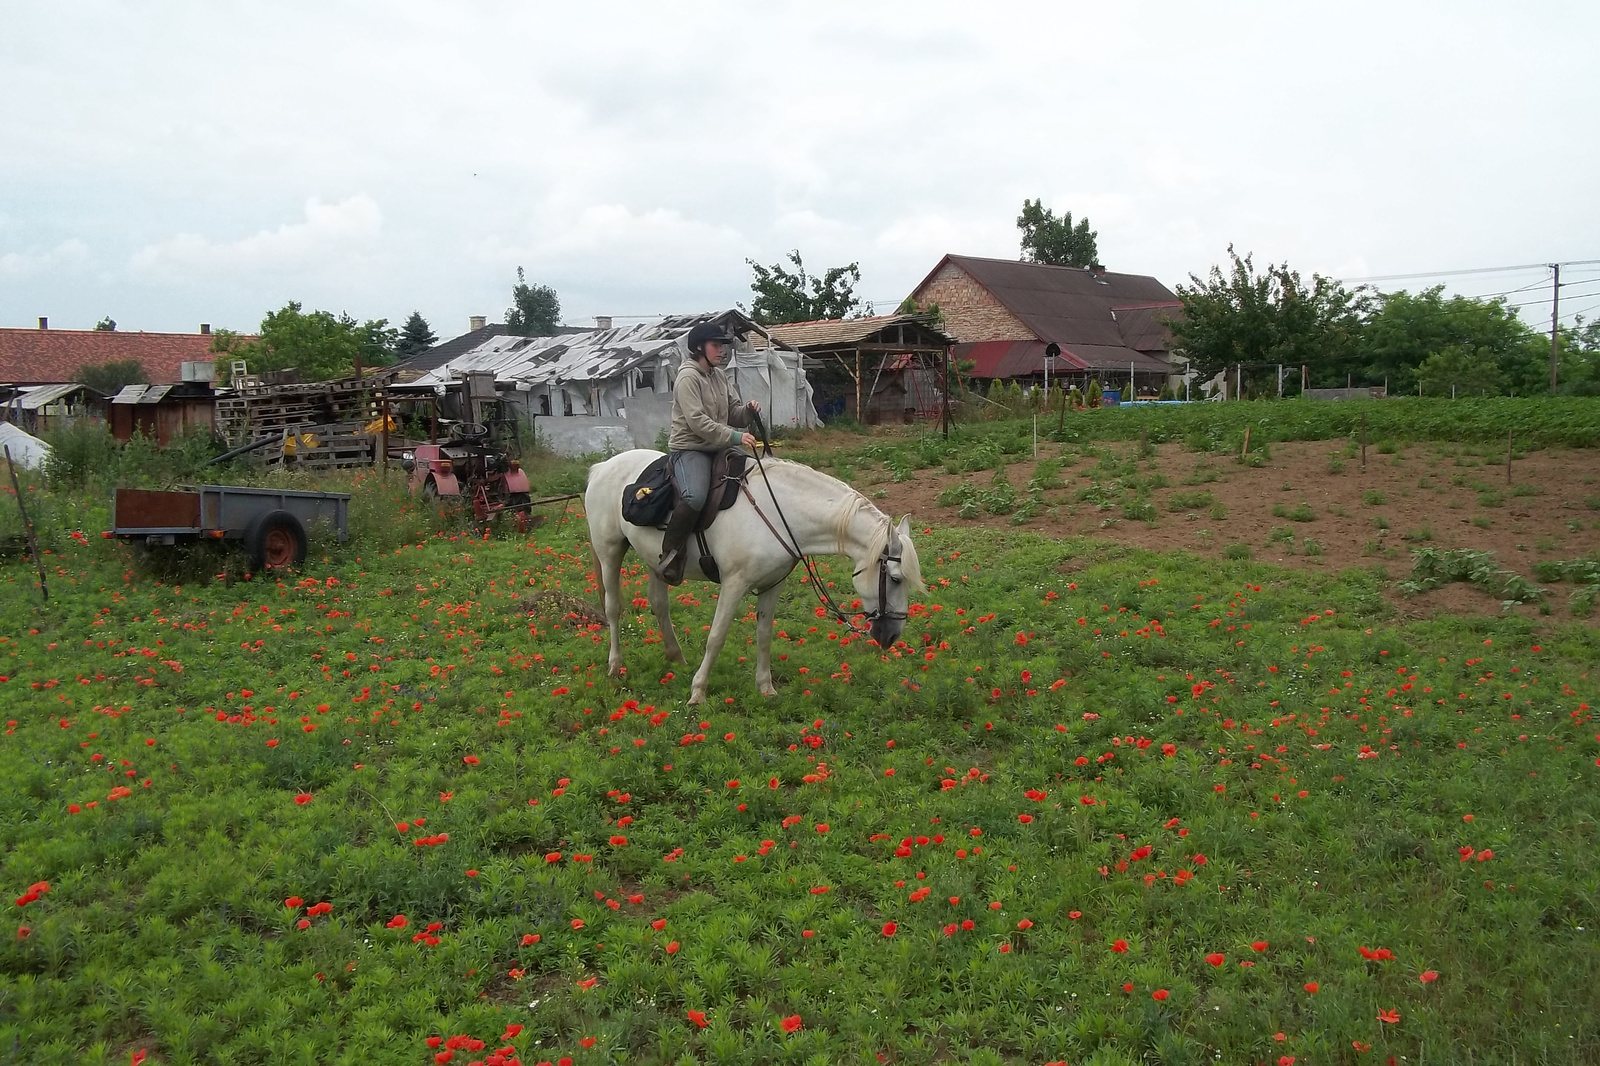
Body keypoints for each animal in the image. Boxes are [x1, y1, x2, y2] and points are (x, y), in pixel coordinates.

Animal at [585, 448, 928, 704]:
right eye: (895, 579)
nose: (892, 637)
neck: (779, 512)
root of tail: (602, 467)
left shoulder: (772, 585)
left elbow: (764, 635)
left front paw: (766, 687)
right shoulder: (735, 583)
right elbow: (716, 636)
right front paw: (698, 692)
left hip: (655, 561)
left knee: (659, 604)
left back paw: (676, 657)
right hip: (609, 550)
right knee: (613, 607)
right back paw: (615, 666)